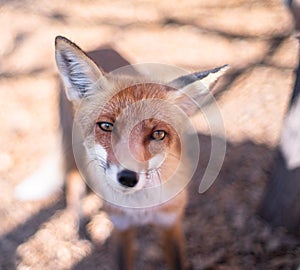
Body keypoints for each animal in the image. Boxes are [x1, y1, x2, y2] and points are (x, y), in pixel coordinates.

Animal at [53, 36, 227, 270]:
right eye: (107, 126)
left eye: (158, 134)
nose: (128, 177)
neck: (141, 208)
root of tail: (101, 45)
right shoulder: (121, 227)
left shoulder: (171, 222)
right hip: (74, 159)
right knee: (73, 189)